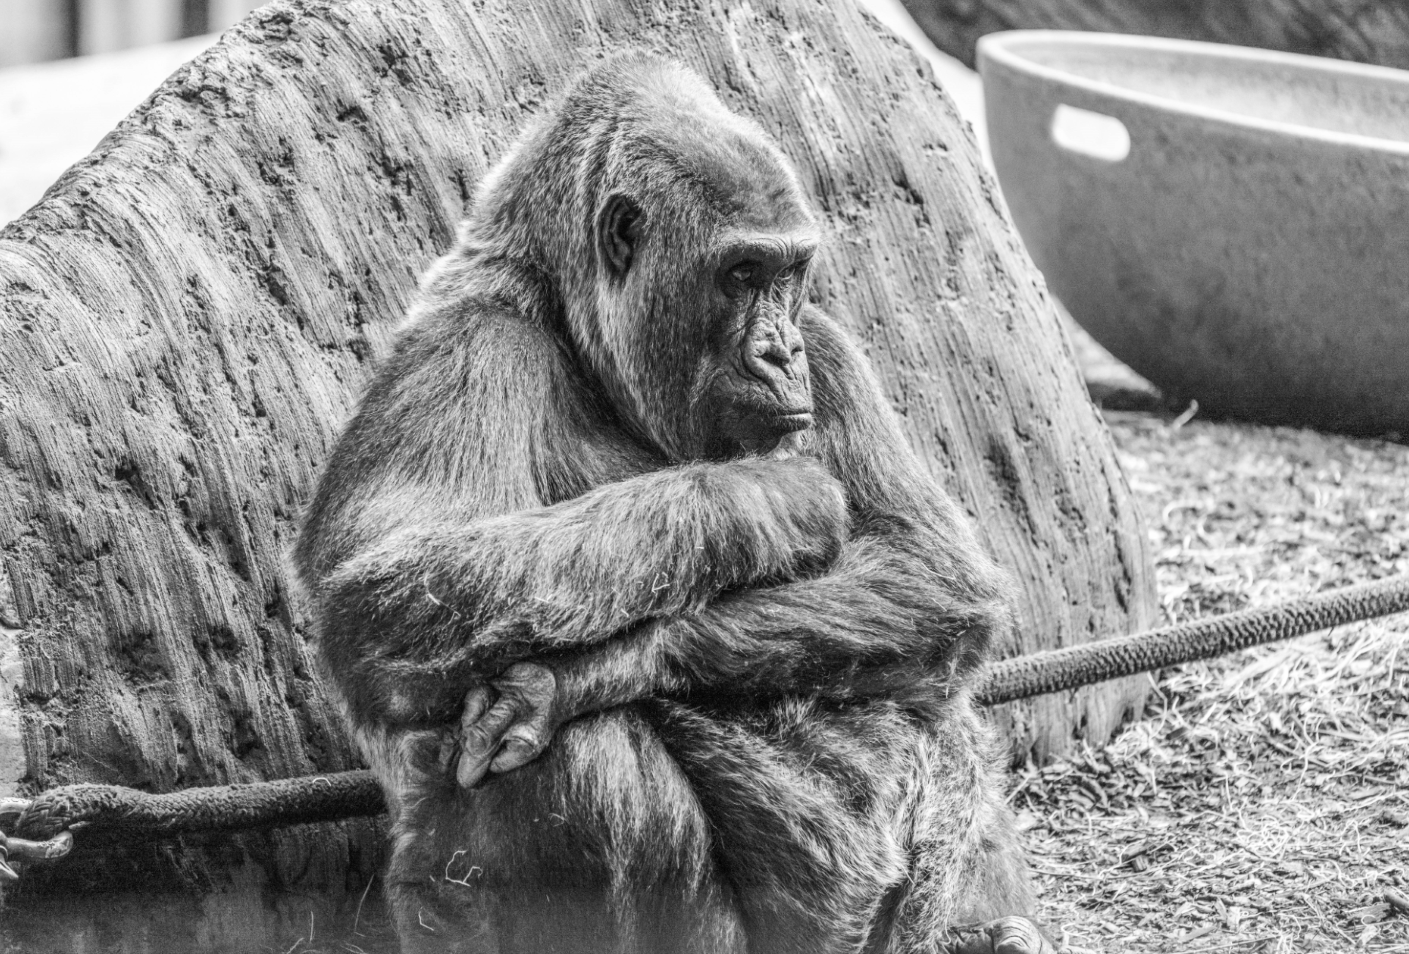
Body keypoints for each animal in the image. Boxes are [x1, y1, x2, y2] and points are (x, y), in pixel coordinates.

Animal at [294, 52, 1055, 954]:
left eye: (787, 273)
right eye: (741, 274)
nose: (780, 351)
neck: (571, 327)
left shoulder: (829, 345)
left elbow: (932, 572)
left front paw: (585, 670)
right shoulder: (464, 343)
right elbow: (383, 591)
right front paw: (767, 500)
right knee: (571, 750)